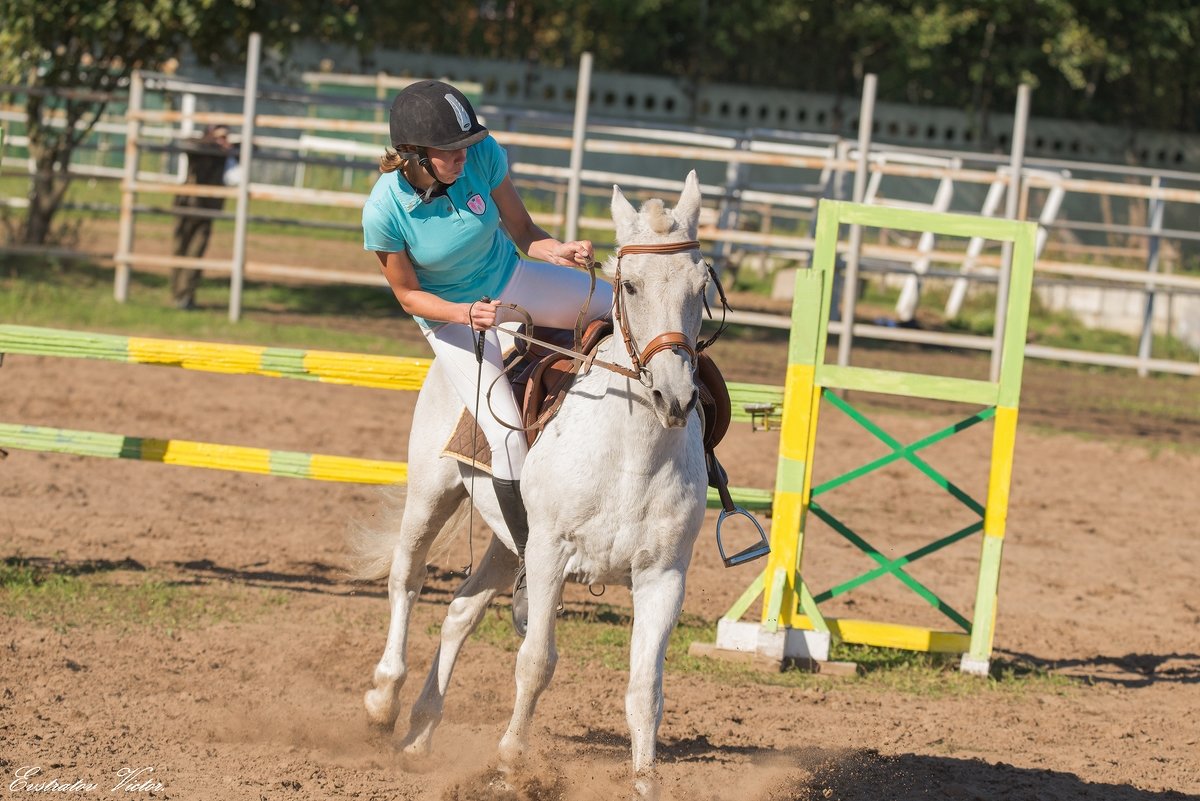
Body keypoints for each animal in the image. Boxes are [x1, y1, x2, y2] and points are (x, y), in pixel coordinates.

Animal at [352, 172, 710, 796]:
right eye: (630, 285)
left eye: (699, 283)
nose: (675, 397)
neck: (630, 458)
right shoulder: (548, 554)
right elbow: (536, 659)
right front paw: (512, 760)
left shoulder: (664, 576)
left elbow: (646, 690)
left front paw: (644, 782)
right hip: (432, 494)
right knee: (407, 579)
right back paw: (382, 700)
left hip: (504, 540)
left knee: (460, 612)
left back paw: (420, 731)